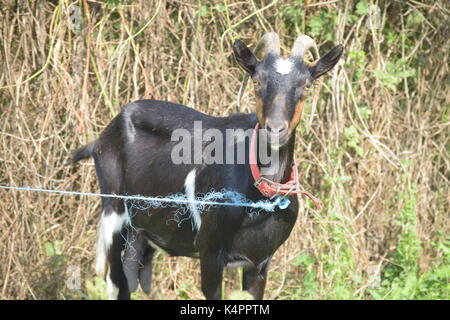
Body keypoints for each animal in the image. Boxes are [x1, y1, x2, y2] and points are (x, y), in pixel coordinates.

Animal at [72, 33, 342, 298]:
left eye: (306, 85)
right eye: (257, 81)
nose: (275, 129)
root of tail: (103, 136)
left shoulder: (260, 262)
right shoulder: (210, 252)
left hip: (141, 234)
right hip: (114, 214)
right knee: (114, 280)